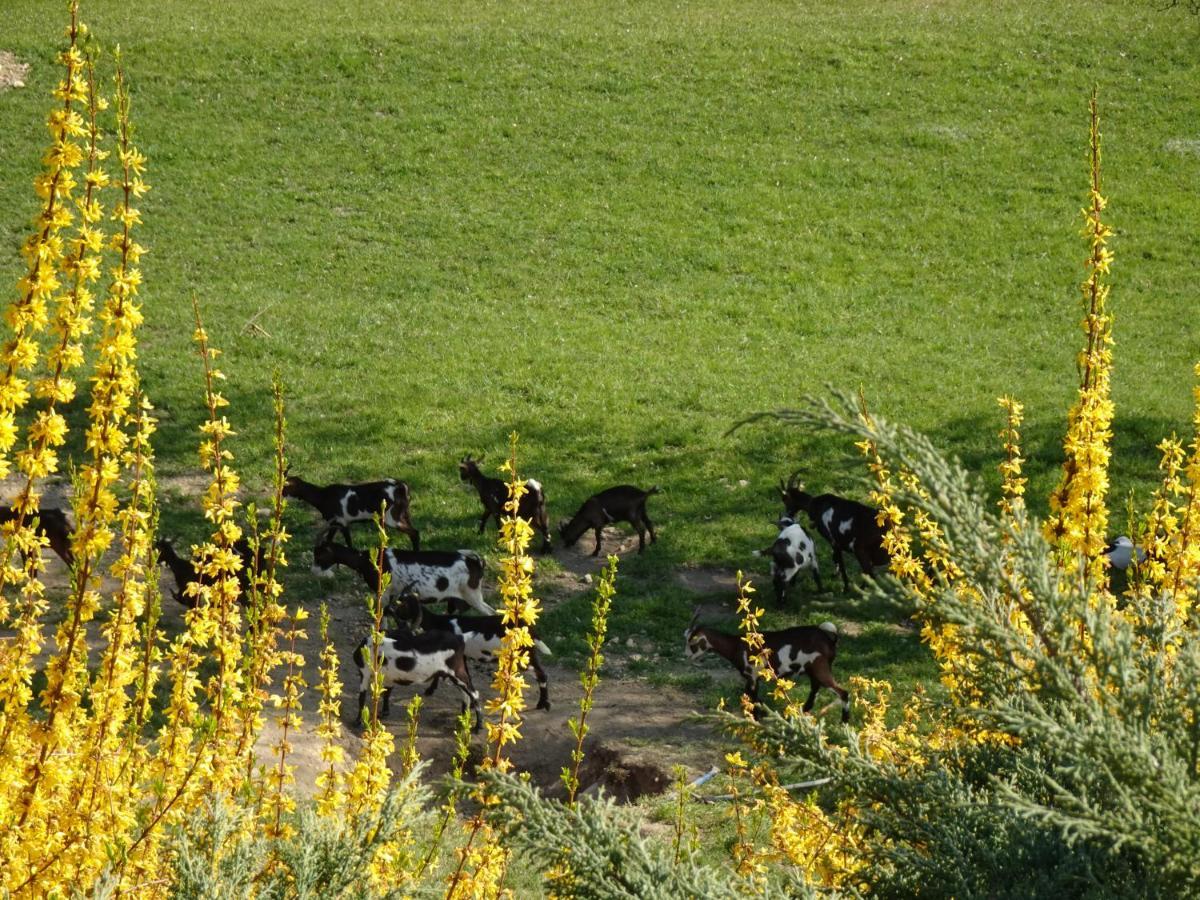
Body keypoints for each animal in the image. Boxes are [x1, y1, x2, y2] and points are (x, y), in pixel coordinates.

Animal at [283, 472, 420, 549]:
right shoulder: (335, 524)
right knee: (414, 533)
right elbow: (329, 540)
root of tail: (401, 488)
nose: (281, 495)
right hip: (404, 515)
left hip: (392, 518)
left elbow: (348, 543)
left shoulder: (341, 522)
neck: (323, 496)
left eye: (286, 487)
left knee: (414, 533)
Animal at [314, 540, 496, 619]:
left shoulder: (384, 593)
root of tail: (475, 563)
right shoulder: (394, 595)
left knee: (491, 613)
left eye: (319, 555)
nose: (313, 570)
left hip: (472, 595)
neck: (364, 559)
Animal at [350, 628, 480, 734]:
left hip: (457, 673)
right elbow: (386, 693)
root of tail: (460, 638)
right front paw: (384, 713)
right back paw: (463, 719)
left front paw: (357, 721)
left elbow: (361, 698)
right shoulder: (388, 677)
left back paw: (478, 727)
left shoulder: (365, 673)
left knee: (474, 694)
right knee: (466, 695)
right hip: (455, 675)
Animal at [384, 595, 552, 715]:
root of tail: (528, 627)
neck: (439, 622)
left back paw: (543, 704)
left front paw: (431, 690)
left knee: (541, 675)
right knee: (540, 674)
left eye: (401, 604)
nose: (386, 609)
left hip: (522, 655)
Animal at [681, 609, 849, 724]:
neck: (735, 646)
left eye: (692, 643)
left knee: (843, 693)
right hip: (814, 671)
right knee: (814, 691)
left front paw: (755, 721)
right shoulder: (751, 678)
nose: (686, 655)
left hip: (820, 669)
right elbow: (751, 699)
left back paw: (844, 723)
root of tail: (829, 640)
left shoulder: (753, 676)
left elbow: (753, 699)